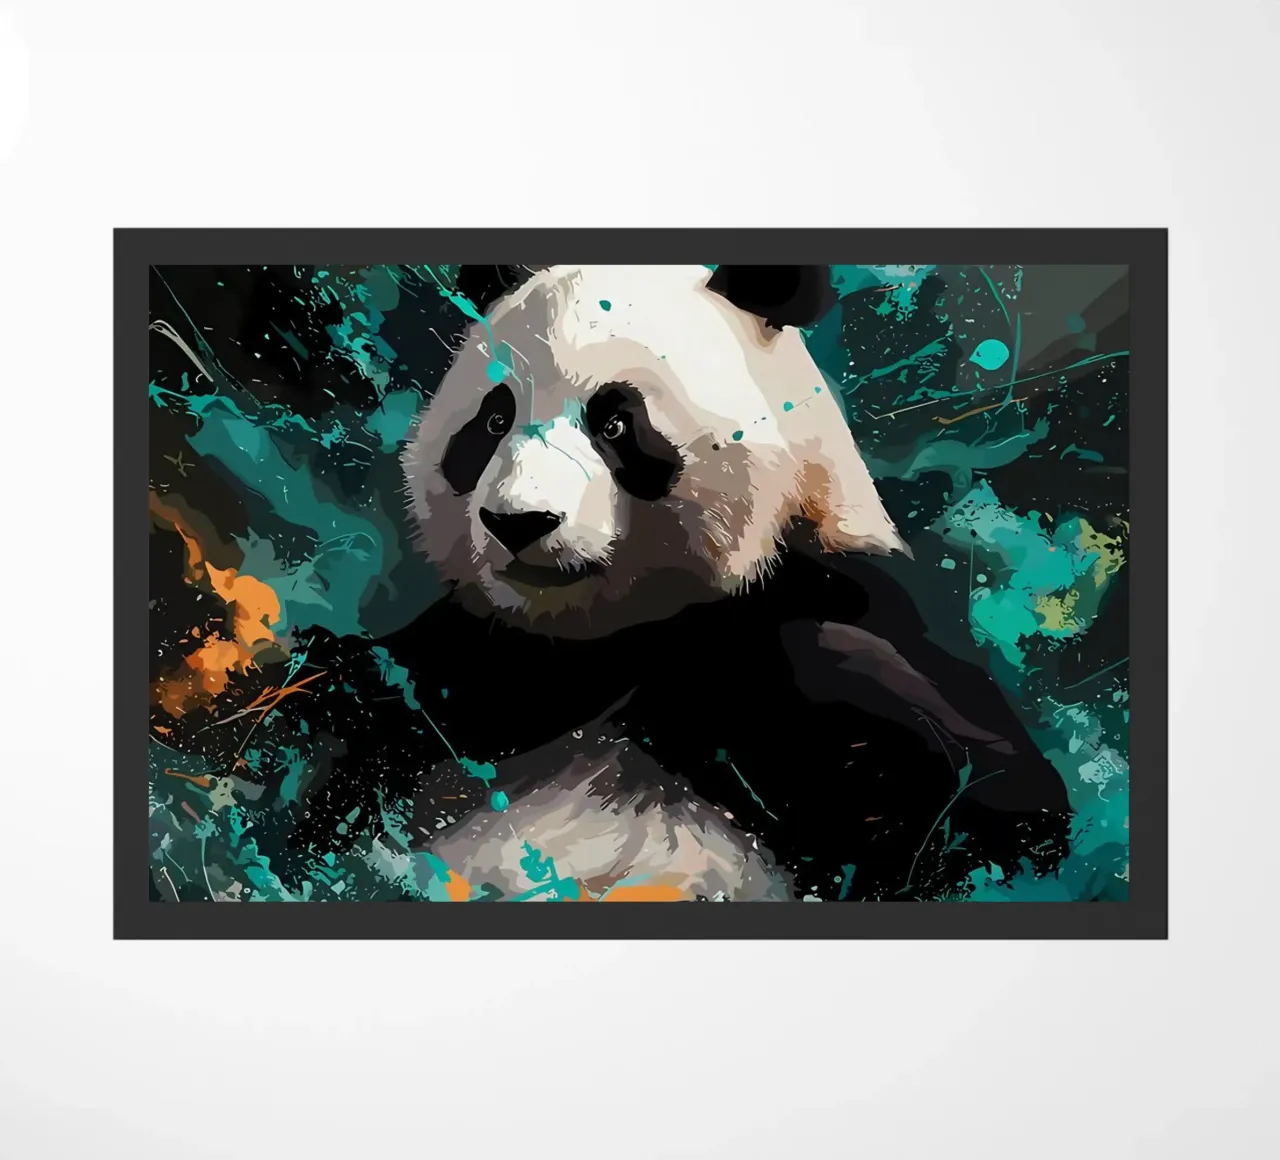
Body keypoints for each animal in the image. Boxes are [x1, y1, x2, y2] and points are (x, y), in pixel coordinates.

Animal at [294, 264, 1073, 902]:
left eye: (614, 422)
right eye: (492, 420)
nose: (517, 521)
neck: (613, 635)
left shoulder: (846, 605)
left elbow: (994, 806)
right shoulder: (460, 671)